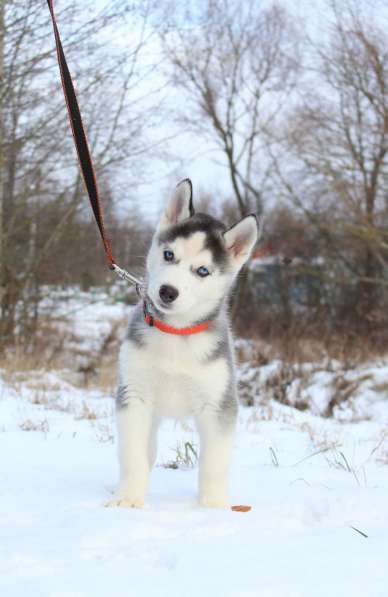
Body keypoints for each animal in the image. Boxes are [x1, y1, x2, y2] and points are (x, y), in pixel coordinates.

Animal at [107, 178, 260, 508]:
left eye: (203, 271)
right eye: (168, 255)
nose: (167, 291)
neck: (175, 335)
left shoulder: (219, 405)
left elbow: (214, 462)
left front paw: (213, 506)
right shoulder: (133, 396)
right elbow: (132, 456)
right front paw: (128, 499)